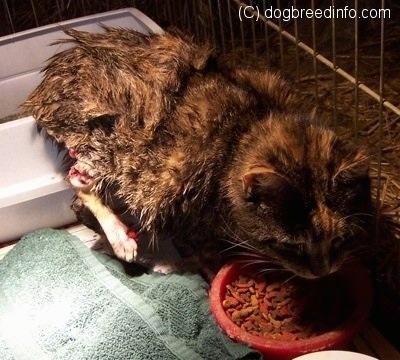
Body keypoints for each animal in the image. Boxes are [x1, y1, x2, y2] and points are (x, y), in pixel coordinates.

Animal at [23, 26, 370, 280]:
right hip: (115, 144)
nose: (323, 272)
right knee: (79, 179)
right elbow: (204, 253)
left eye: (340, 240)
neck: (247, 129)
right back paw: (122, 239)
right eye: (292, 247)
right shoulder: (183, 205)